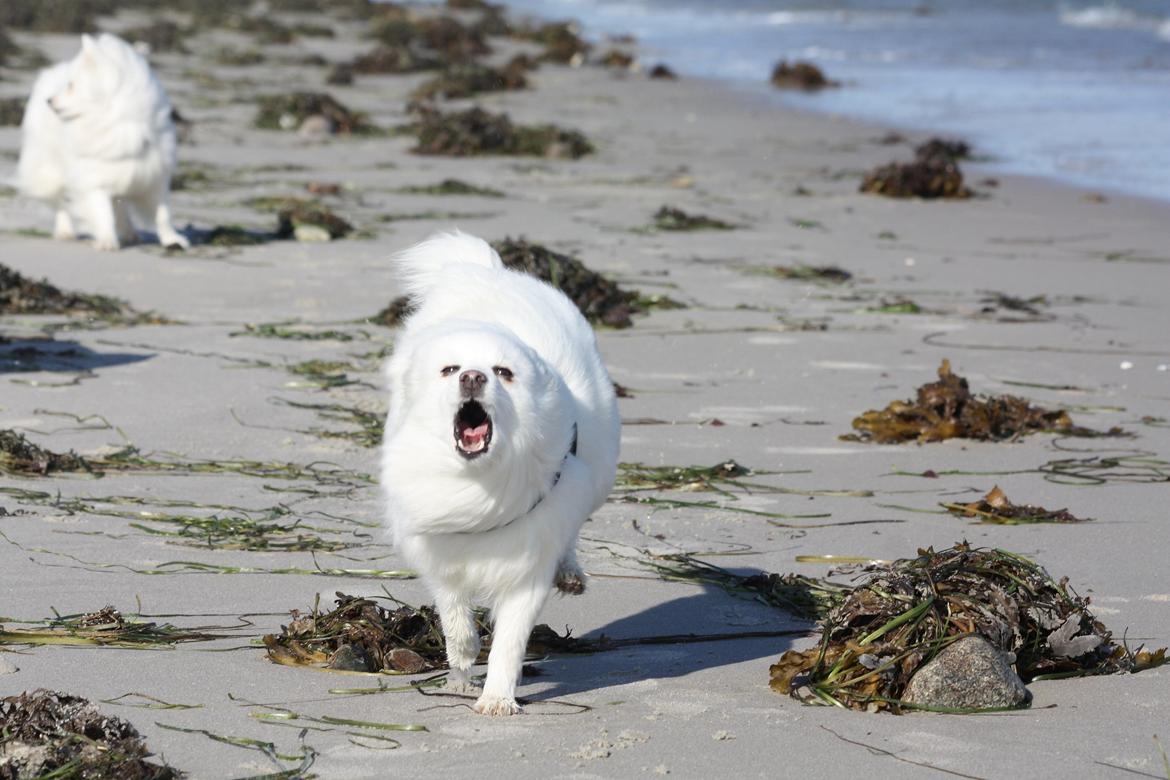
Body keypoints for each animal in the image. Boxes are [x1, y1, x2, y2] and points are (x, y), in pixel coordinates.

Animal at [16, 33, 188, 250]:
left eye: (71, 86)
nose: (49, 100)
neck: (118, 127)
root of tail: (50, 73)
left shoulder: (153, 177)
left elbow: (162, 214)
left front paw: (173, 239)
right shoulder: (93, 181)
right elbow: (103, 213)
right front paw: (107, 241)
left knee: (118, 207)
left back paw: (129, 233)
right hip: (51, 169)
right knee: (61, 202)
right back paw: (65, 232)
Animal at [383, 230, 622, 715]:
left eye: (503, 372)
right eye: (450, 369)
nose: (473, 377)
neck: (478, 479)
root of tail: (489, 273)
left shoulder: (527, 569)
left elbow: (509, 642)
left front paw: (497, 699)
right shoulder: (440, 555)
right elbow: (456, 619)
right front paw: (459, 669)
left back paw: (570, 571)